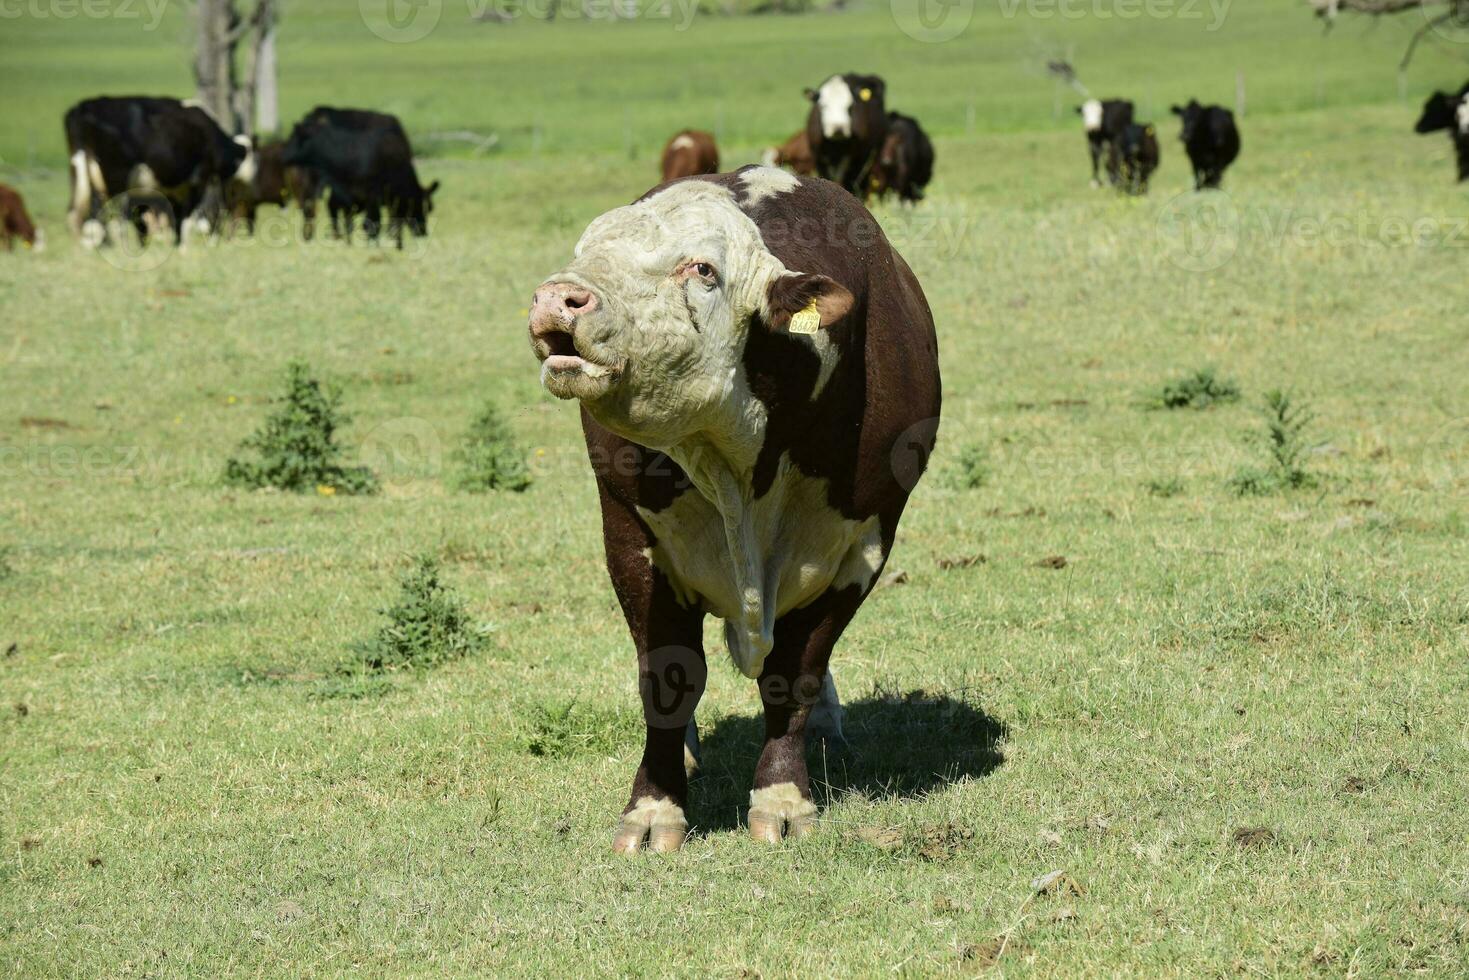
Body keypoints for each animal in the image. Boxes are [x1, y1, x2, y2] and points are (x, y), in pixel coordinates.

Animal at [63, 95, 255, 246]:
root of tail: (83, 108)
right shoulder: (198, 179)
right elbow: (186, 218)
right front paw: (183, 250)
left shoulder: (171, 189)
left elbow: (171, 218)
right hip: (115, 179)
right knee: (111, 219)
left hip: (82, 175)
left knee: (80, 216)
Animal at [528, 166, 940, 852]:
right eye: (588, 252)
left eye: (702, 269)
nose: (559, 297)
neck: (735, 467)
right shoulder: (632, 540)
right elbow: (669, 680)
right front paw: (655, 806)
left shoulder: (859, 548)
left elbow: (794, 675)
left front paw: (783, 796)